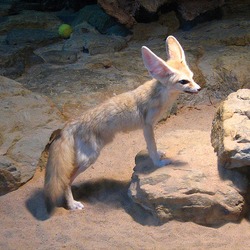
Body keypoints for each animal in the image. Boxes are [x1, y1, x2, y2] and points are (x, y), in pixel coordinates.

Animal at [44, 36, 200, 214]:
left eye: (192, 77)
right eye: (183, 81)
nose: (199, 88)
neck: (160, 95)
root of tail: (70, 124)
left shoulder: (149, 127)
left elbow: (153, 147)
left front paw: (159, 153)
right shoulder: (147, 126)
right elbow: (152, 147)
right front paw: (159, 164)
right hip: (89, 158)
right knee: (65, 181)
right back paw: (71, 204)